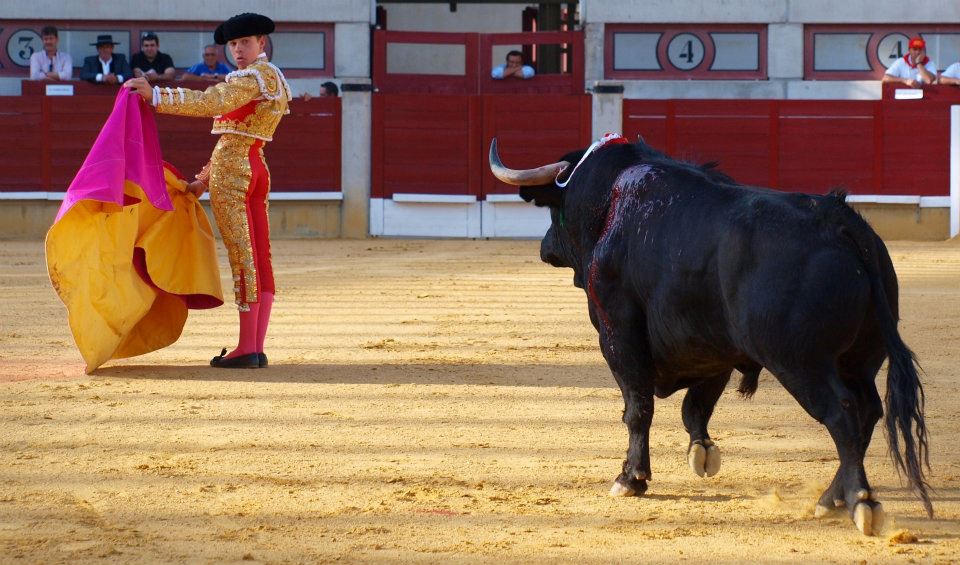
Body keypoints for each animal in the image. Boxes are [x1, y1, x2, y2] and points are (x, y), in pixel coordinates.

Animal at [488, 137, 928, 532]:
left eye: (551, 209)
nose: (545, 247)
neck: (609, 205)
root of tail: (841, 222)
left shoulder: (618, 332)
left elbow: (637, 407)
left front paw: (631, 478)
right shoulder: (712, 348)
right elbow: (695, 406)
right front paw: (701, 453)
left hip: (801, 363)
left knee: (843, 414)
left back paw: (860, 503)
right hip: (860, 360)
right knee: (867, 412)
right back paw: (828, 499)